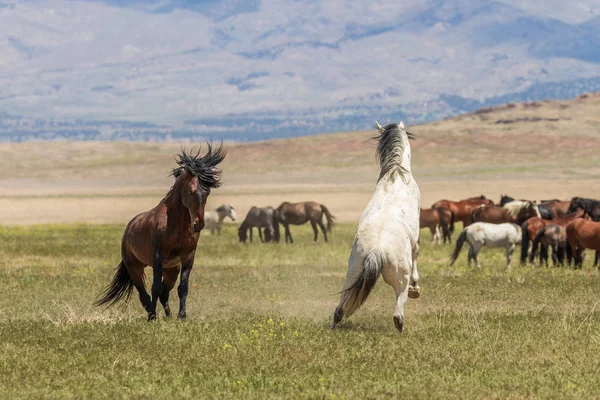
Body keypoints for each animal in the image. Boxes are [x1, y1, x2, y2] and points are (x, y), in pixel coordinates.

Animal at [95, 145, 226, 320]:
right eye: (191, 191)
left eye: (207, 192)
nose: (198, 224)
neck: (175, 224)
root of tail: (129, 228)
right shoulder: (158, 255)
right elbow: (155, 287)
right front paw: (153, 317)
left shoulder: (188, 256)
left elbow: (182, 287)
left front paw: (182, 316)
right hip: (135, 268)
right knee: (144, 294)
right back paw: (152, 313)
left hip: (171, 270)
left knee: (165, 293)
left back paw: (169, 316)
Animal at [328, 122, 422, 334]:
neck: (396, 175)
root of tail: (376, 250)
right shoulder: (414, 240)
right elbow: (416, 254)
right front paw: (416, 288)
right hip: (399, 280)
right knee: (398, 314)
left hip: (352, 274)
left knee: (339, 309)